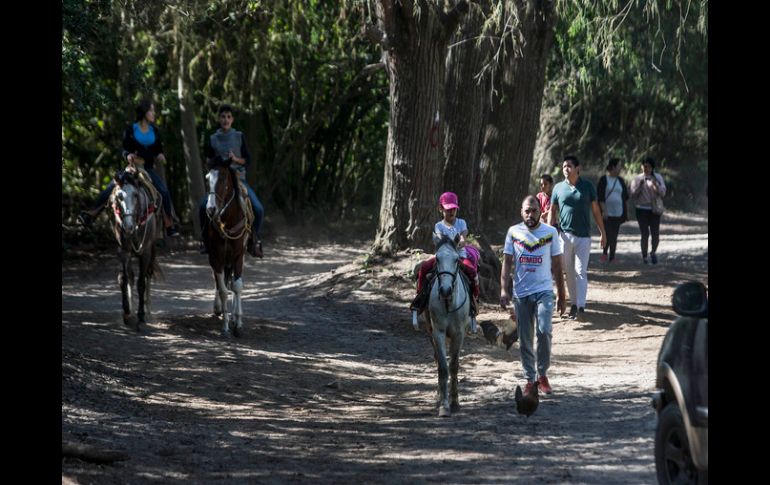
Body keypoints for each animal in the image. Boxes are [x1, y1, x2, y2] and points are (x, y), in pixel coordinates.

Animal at [111, 168, 162, 330]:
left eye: (135, 195)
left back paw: (148, 311)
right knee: (131, 277)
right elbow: (124, 279)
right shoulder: (123, 251)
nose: (128, 227)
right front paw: (127, 313)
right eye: (119, 197)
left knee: (148, 275)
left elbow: (141, 283)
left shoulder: (145, 252)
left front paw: (141, 316)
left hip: (152, 249)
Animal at [202, 163, 250, 336]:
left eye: (223, 180)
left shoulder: (238, 255)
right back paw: (219, 310)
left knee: (234, 283)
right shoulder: (215, 257)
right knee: (220, 282)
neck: (228, 222)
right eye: (207, 179)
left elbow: (237, 286)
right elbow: (222, 289)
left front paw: (238, 323)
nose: (211, 209)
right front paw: (225, 325)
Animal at [424, 235, 472, 416]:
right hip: (430, 331)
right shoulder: (438, 332)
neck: (448, 303)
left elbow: (454, 366)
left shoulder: (459, 334)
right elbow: (443, 367)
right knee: (438, 359)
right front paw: (444, 405)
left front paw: (455, 402)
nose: (445, 290)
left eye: (456, 259)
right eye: (437, 258)